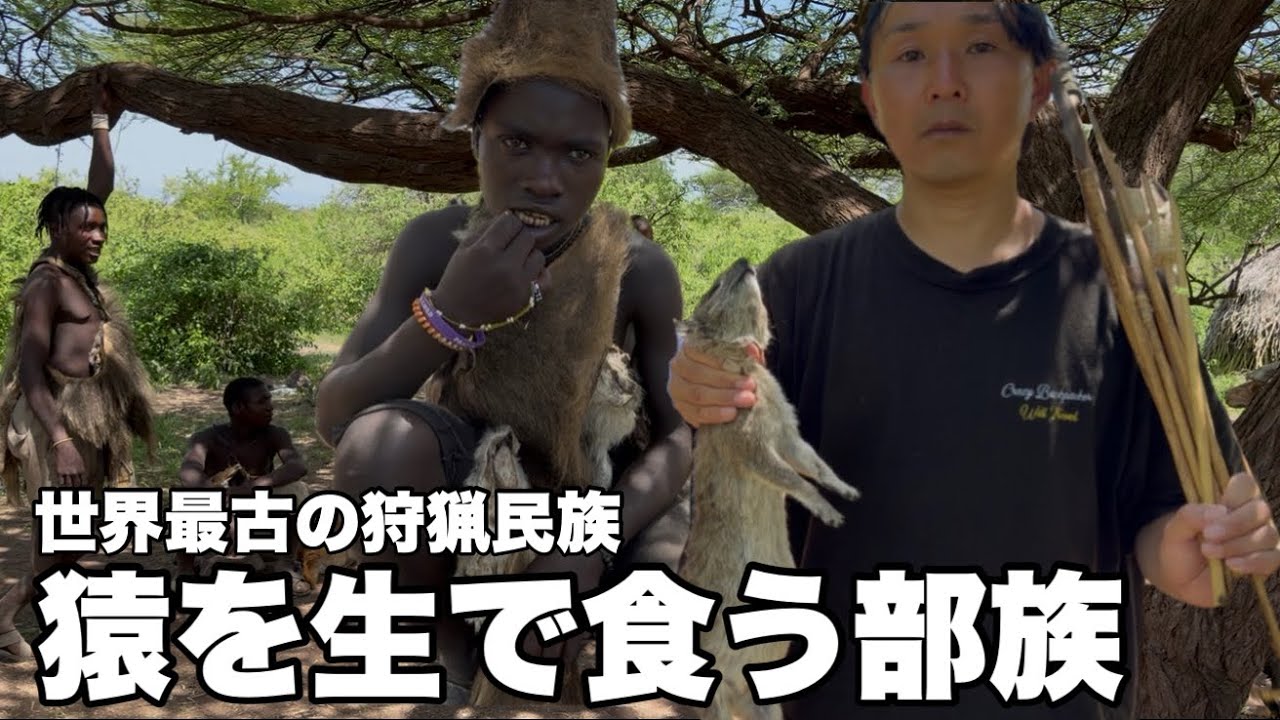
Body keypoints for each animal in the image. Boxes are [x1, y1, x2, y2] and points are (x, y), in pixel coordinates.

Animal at [676, 257, 861, 720]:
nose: (744, 261)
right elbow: (789, 476)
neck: (749, 372)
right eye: (716, 285)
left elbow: (809, 460)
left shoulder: (787, 430)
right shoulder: (744, 439)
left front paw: (842, 487)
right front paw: (824, 507)